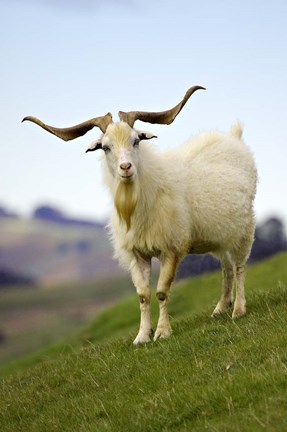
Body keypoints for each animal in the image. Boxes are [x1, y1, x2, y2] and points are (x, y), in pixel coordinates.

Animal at [23, 85, 258, 344]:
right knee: (226, 268)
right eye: (105, 147)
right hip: (220, 236)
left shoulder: (170, 249)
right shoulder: (138, 254)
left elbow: (162, 292)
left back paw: (239, 309)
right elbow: (143, 295)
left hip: (244, 228)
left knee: (239, 266)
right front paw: (142, 336)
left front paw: (163, 332)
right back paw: (221, 308)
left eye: (136, 140)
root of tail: (233, 137)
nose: (126, 168)